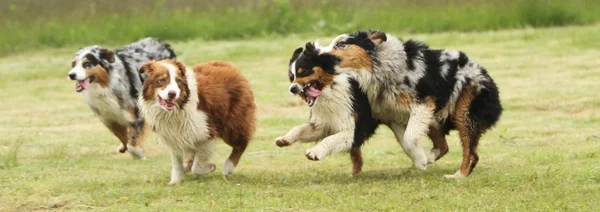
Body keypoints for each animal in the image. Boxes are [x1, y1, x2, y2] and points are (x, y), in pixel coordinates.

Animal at [318, 31, 502, 177]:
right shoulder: (394, 115)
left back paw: (459, 175)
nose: (317, 53)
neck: (383, 67)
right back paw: (433, 157)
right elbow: (406, 142)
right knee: (444, 146)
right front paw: (422, 158)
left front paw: (422, 159)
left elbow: (410, 137)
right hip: (435, 119)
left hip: (464, 111)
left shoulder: (423, 103)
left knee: (470, 152)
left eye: (341, 44)